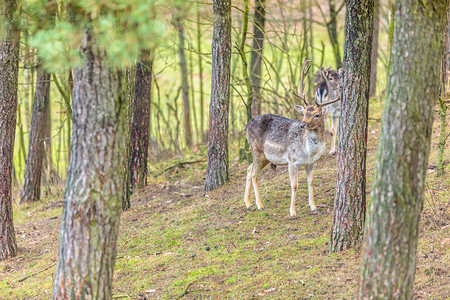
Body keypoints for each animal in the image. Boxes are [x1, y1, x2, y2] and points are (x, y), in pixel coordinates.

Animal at [244, 59, 340, 217]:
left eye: (317, 114)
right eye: (304, 113)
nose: (303, 125)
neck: (309, 152)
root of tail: (246, 125)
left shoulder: (312, 163)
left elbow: (310, 182)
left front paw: (313, 207)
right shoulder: (292, 160)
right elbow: (294, 185)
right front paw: (292, 212)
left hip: (265, 157)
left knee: (248, 168)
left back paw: (248, 203)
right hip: (257, 150)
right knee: (253, 173)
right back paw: (259, 205)